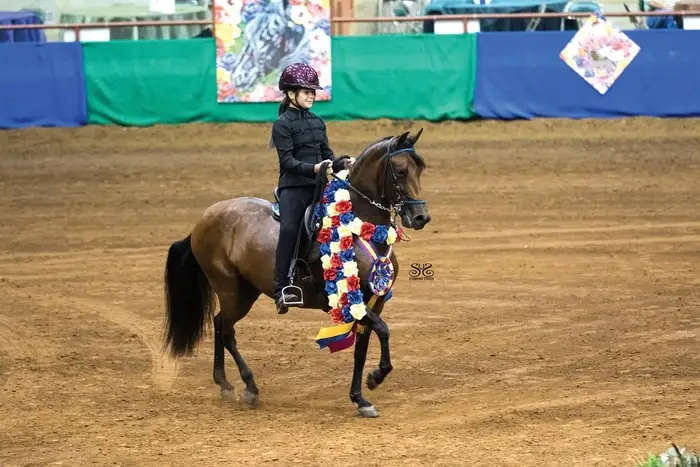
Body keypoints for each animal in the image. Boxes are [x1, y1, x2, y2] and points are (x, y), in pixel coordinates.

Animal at [161, 128, 430, 416]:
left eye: (421, 168)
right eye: (400, 171)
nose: (421, 218)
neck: (360, 228)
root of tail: (203, 221)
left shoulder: (373, 302)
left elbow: (363, 346)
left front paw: (360, 398)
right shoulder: (349, 302)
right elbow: (383, 329)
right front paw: (376, 377)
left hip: (246, 290)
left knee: (220, 323)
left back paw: (224, 383)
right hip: (229, 288)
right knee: (227, 330)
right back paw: (249, 387)